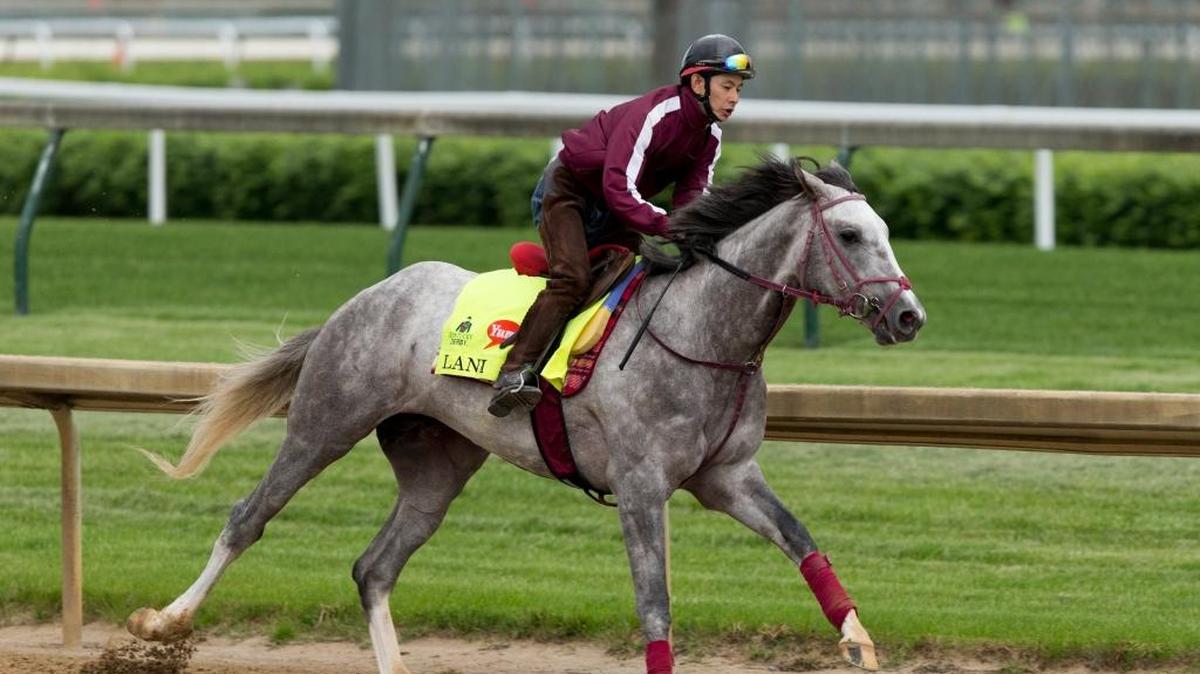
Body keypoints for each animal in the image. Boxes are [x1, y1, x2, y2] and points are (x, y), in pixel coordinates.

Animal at [127, 156, 926, 674]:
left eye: (886, 230)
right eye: (851, 236)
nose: (908, 316)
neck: (702, 332)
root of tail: (365, 298)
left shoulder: (726, 476)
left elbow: (802, 541)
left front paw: (858, 640)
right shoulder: (641, 485)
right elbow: (655, 603)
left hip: (437, 463)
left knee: (374, 568)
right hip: (325, 422)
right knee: (248, 518)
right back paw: (164, 621)